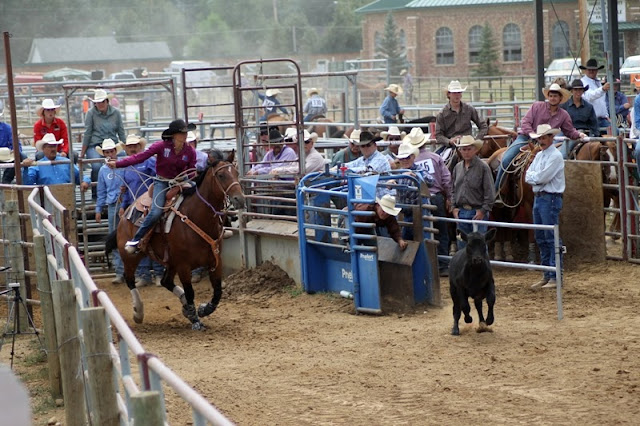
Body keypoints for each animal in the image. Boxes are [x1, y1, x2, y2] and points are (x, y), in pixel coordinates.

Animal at [109, 151, 244, 332]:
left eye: (236, 173)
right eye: (221, 175)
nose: (239, 199)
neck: (197, 217)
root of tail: (126, 212)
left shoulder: (215, 261)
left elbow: (217, 292)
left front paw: (202, 310)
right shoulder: (184, 266)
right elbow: (190, 291)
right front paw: (195, 320)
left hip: (170, 261)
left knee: (165, 281)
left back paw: (184, 306)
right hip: (131, 256)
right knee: (130, 279)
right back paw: (138, 312)